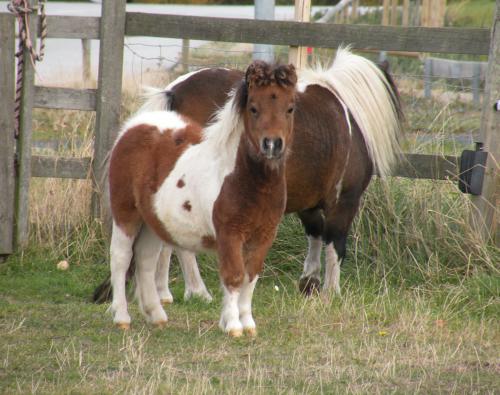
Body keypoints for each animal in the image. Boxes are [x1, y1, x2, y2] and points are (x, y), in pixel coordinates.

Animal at [94, 49, 402, 308]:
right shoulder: (344, 201)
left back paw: (163, 293)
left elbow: (315, 236)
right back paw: (197, 292)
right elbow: (335, 245)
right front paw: (331, 291)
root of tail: (175, 92)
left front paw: (309, 283)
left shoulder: (308, 202)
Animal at [107, 62, 296, 338]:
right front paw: (233, 326)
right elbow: (233, 277)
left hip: (153, 223)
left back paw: (156, 316)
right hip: (125, 215)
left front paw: (248, 324)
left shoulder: (263, 237)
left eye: (290, 107)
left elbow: (250, 278)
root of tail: (134, 127)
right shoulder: (230, 235)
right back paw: (122, 318)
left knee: (145, 260)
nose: (272, 145)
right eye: (253, 108)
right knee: (121, 258)